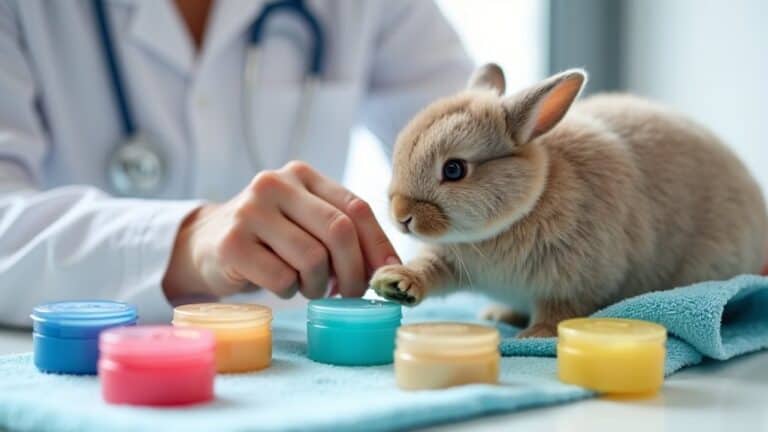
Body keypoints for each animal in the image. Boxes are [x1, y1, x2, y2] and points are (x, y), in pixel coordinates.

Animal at [370, 63, 768, 338]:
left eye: (454, 169)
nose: (401, 216)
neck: (528, 203)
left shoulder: (573, 280)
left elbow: (559, 309)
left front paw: (536, 335)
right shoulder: (453, 262)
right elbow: (431, 271)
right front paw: (396, 284)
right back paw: (501, 314)